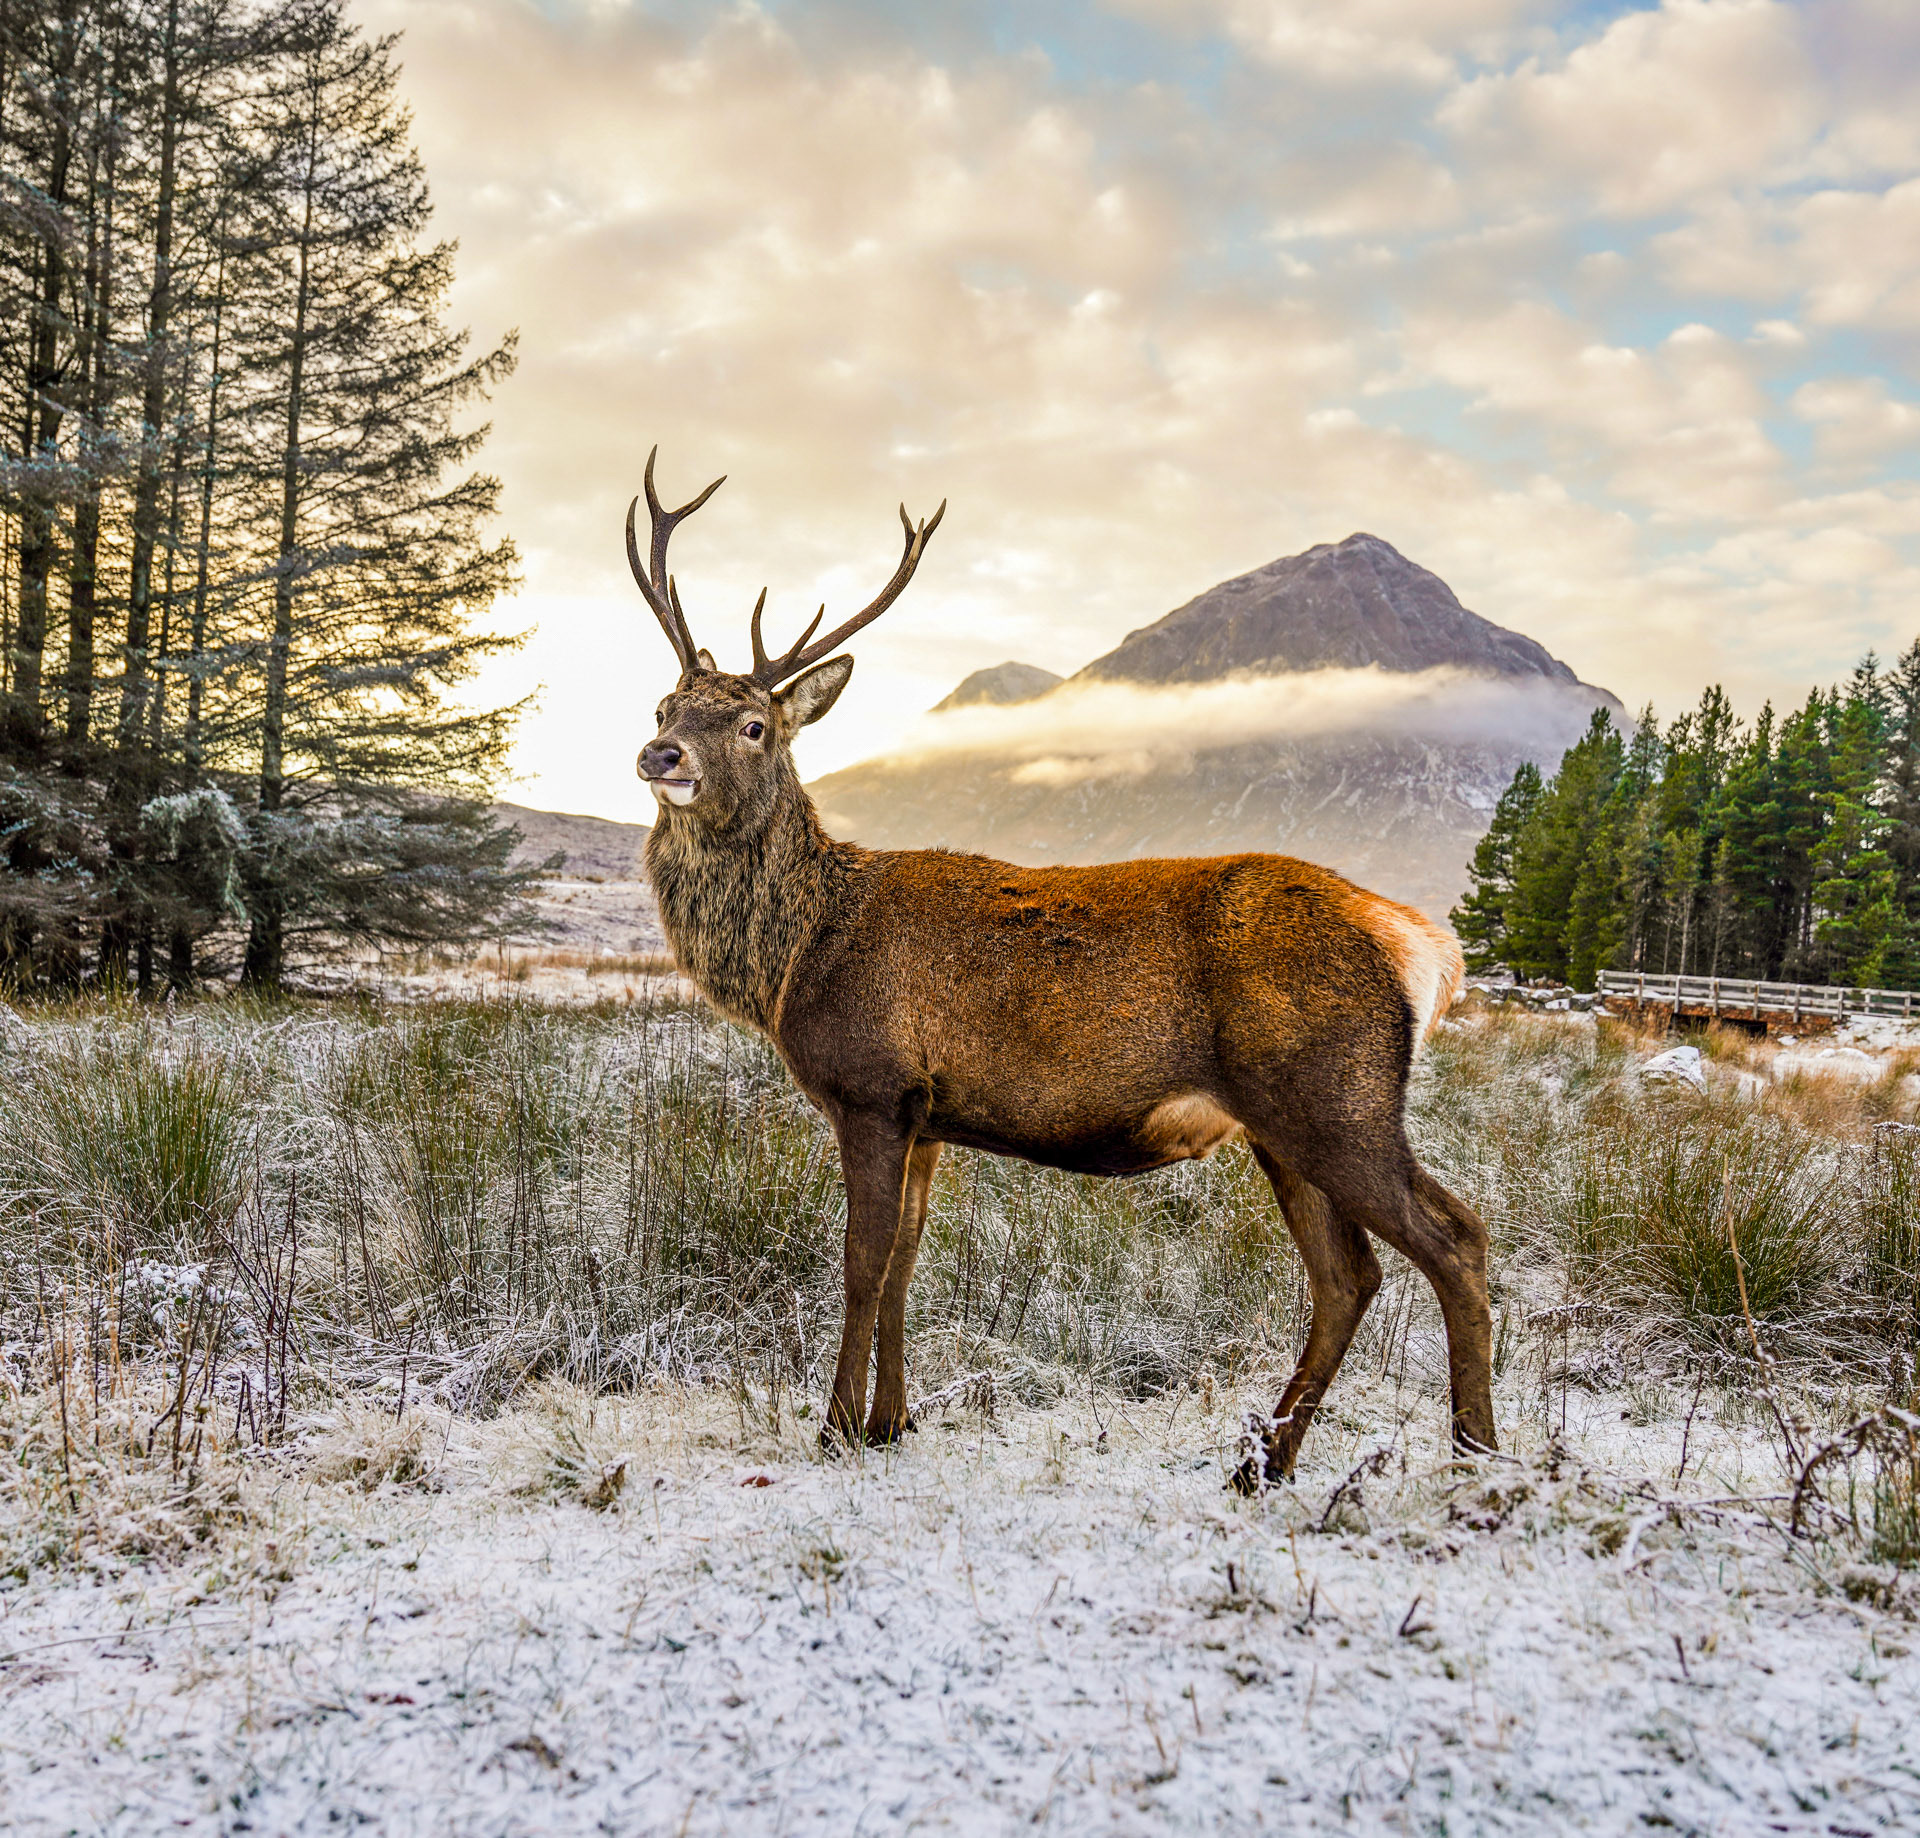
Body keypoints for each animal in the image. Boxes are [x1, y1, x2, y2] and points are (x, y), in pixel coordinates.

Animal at [626, 449, 1497, 1487]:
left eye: (755, 725)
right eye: (666, 703)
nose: (661, 752)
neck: (795, 955)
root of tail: (1418, 941)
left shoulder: (872, 1088)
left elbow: (861, 1264)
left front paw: (835, 1430)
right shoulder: (927, 1116)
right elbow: (906, 1265)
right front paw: (893, 1423)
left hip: (1335, 1095)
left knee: (1455, 1239)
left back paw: (1476, 1457)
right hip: (1286, 1124)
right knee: (1348, 1274)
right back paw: (1263, 1464)